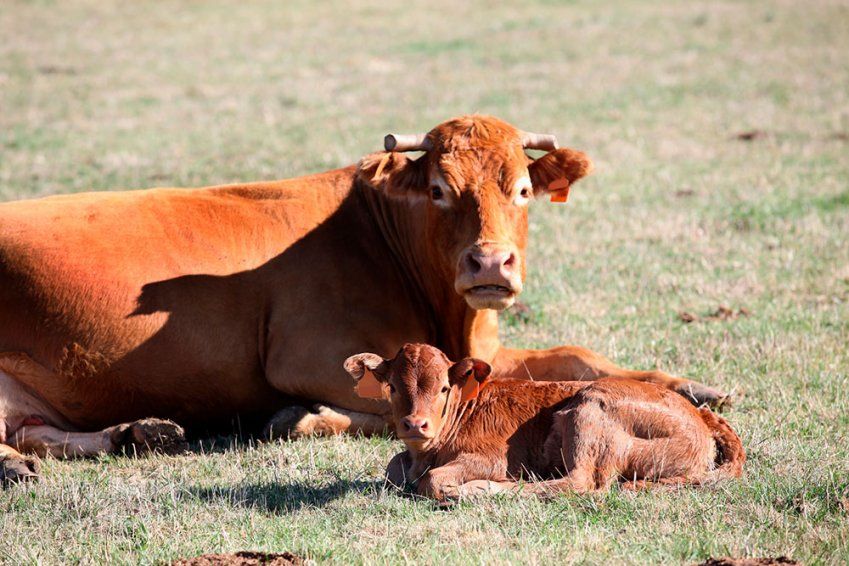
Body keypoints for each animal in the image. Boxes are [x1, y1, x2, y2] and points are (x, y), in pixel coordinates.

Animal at [1, 114, 728, 484]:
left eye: (523, 188)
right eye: (438, 188)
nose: (490, 262)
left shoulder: (484, 348)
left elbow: (573, 357)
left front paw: (689, 386)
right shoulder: (303, 357)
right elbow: (380, 405)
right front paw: (302, 419)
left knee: (39, 430)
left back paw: (141, 432)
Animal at [344, 344, 744, 504]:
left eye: (444, 387)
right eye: (393, 386)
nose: (415, 425)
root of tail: (700, 416)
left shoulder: (492, 457)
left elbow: (434, 480)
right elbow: (394, 466)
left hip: (590, 407)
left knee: (581, 483)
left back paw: (482, 491)